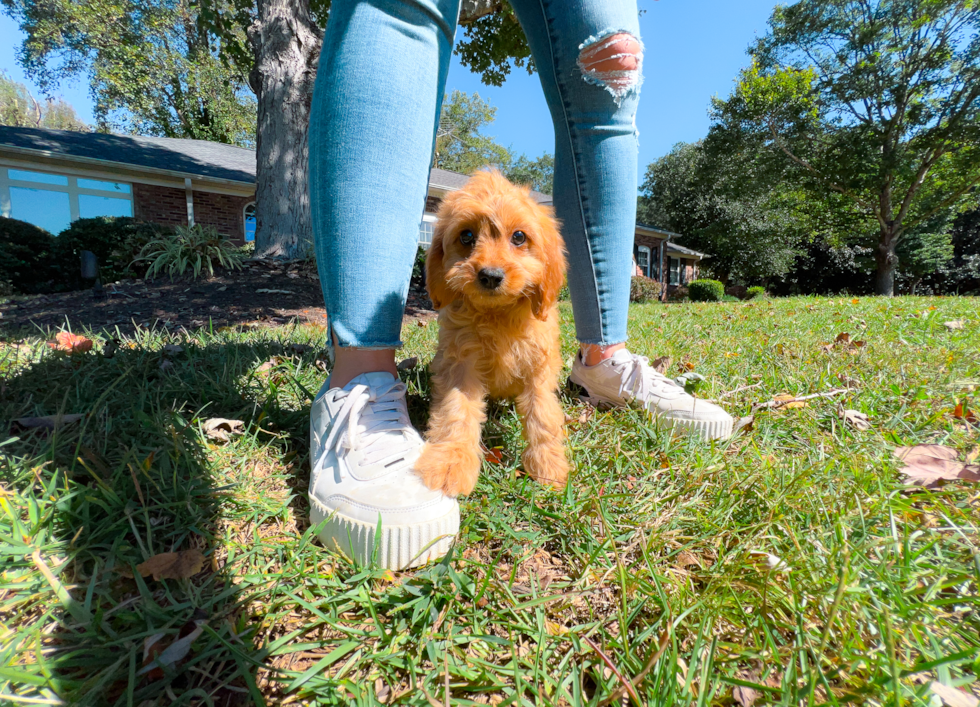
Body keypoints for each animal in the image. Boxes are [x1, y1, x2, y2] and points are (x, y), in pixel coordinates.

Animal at [412, 169, 568, 498]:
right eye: (466, 236)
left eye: (519, 237)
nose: (491, 276)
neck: (498, 314)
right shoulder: (460, 364)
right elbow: (456, 411)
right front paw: (449, 464)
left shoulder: (538, 367)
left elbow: (543, 415)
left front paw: (548, 467)